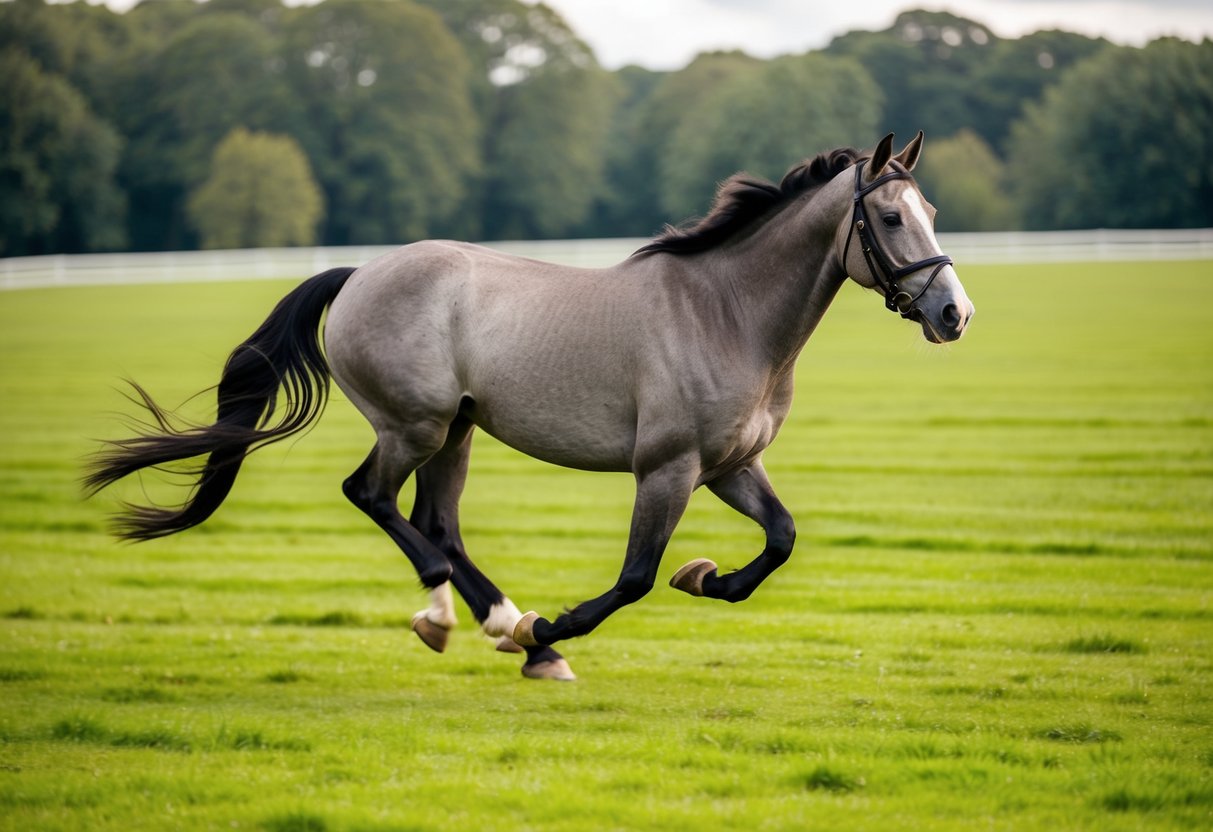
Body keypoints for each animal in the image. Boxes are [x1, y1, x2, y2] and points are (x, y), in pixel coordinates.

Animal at [86, 132, 973, 681]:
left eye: (932, 214)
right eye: (887, 217)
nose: (953, 314)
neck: (724, 312)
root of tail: (360, 273)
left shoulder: (730, 465)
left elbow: (780, 541)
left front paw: (704, 577)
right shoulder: (668, 468)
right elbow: (634, 579)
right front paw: (557, 628)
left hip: (457, 430)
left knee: (436, 522)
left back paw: (502, 625)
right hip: (414, 425)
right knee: (375, 499)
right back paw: (463, 619)